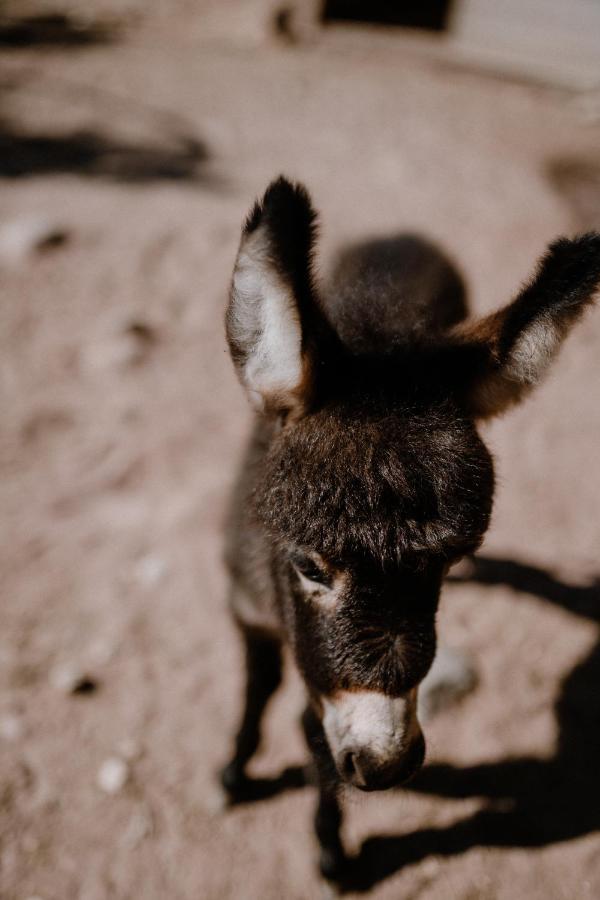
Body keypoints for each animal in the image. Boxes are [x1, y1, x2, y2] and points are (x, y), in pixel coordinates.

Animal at [221, 178, 600, 884]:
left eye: (446, 565)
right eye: (309, 566)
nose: (386, 765)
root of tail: (405, 236)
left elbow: (314, 733)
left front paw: (331, 849)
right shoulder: (247, 609)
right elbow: (259, 690)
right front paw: (235, 771)